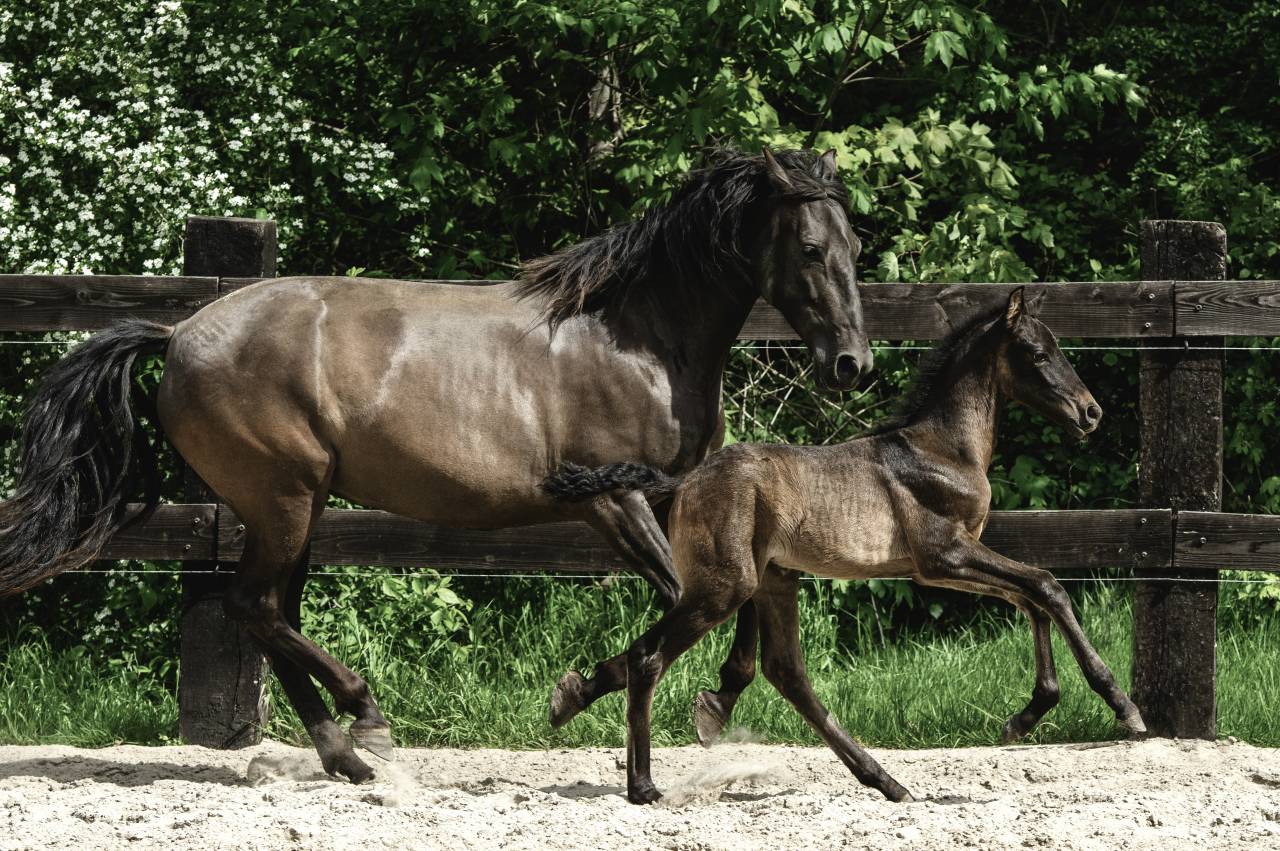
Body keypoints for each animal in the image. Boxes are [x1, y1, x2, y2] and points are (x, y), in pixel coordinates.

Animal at [0, 148, 872, 784]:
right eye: (809, 247)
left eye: (857, 247)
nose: (852, 364)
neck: (638, 339)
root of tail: (178, 335)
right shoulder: (612, 499)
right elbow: (702, 599)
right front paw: (613, 696)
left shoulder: (673, 497)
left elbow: (736, 599)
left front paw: (693, 701)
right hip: (283, 498)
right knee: (256, 606)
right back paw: (365, 718)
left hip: (297, 507)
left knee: (269, 611)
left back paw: (347, 753)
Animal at [544, 287, 1146, 804]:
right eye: (1038, 354)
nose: (1090, 413)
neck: (942, 449)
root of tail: (682, 480)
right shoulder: (942, 556)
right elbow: (1047, 584)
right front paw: (1122, 706)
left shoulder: (945, 564)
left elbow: (1031, 597)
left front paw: (1025, 716)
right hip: (725, 585)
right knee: (651, 656)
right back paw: (643, 785)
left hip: (775, 579)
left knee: (787, 673)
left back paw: (887, 782)